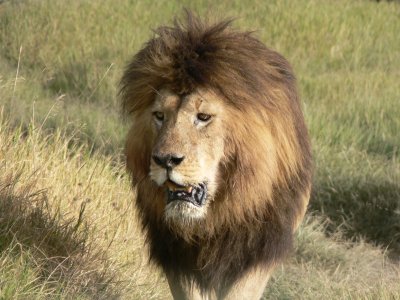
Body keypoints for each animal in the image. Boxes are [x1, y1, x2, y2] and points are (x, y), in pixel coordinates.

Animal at [119, 11, 312, 300]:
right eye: (159, 115)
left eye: (203, 117)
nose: (165, 161)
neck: (217, 215)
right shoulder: (176, 254)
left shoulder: (258, 251)